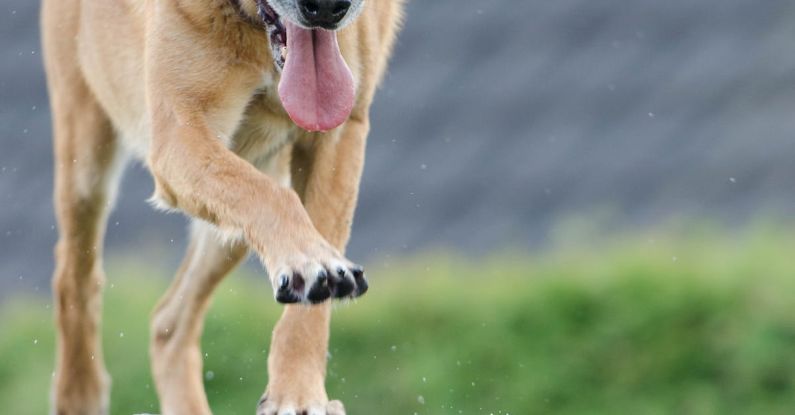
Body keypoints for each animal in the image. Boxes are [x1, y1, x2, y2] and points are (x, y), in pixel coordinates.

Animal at [42, 1, 404, 414]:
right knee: (74, 277)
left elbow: (316, 268)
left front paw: (296, 392)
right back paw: (79, 392)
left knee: (169, 323)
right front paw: (312, 263)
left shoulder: (340, 134)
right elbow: (271, 198)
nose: (328, 9)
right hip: (85, 160)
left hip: (236, 219)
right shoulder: (179, 135)